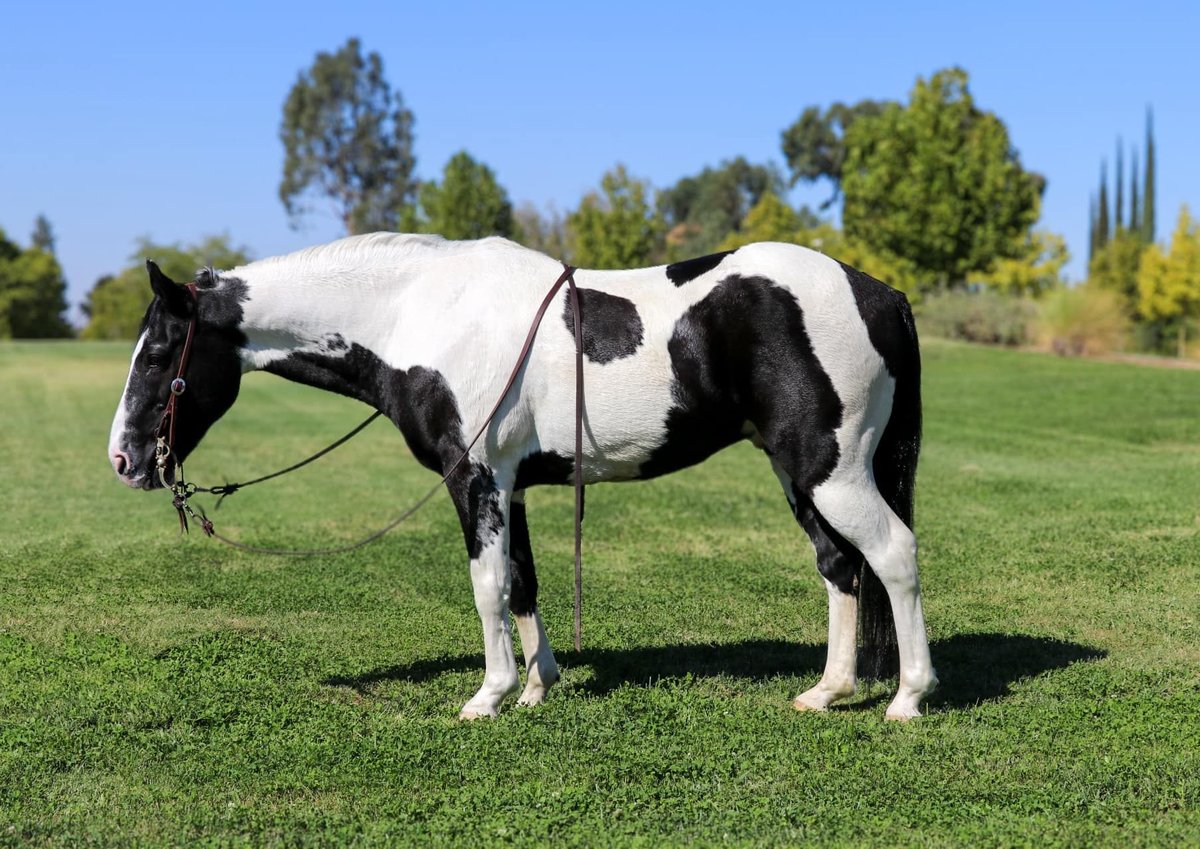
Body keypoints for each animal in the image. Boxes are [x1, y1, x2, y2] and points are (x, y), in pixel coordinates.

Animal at [107, 234, 938, 720]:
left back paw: (906, 698)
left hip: (831, 472)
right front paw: (539, 686)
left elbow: (487, 585)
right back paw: (827, 691)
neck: (420, 311)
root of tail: (881, 292)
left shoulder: (473, 478)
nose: (123, 459)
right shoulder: (513, 485)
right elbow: (523, 583)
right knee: (840, 566)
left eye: (162, 351)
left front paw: (491, 694)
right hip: (802, 474)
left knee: (893, 556)